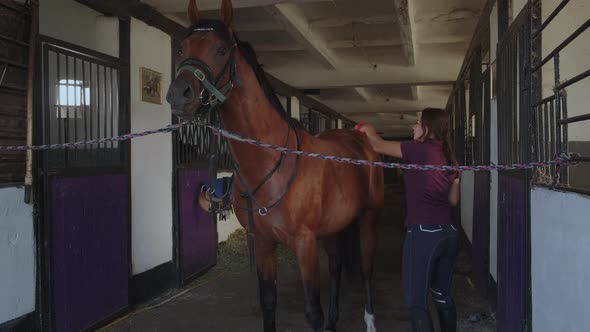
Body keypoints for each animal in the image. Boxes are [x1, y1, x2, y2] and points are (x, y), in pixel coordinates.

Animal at [166, 1, 386, 330]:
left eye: (221, 49)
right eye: (181, 48)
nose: (179, 95)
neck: (269, 164)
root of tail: (360, 140)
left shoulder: (305, 244)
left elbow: (312, 311)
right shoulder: (263, 244)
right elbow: (268, 301)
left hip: (368, 219)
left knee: (366, 270)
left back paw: (370, 320)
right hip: (334, 228)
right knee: (336, 269)